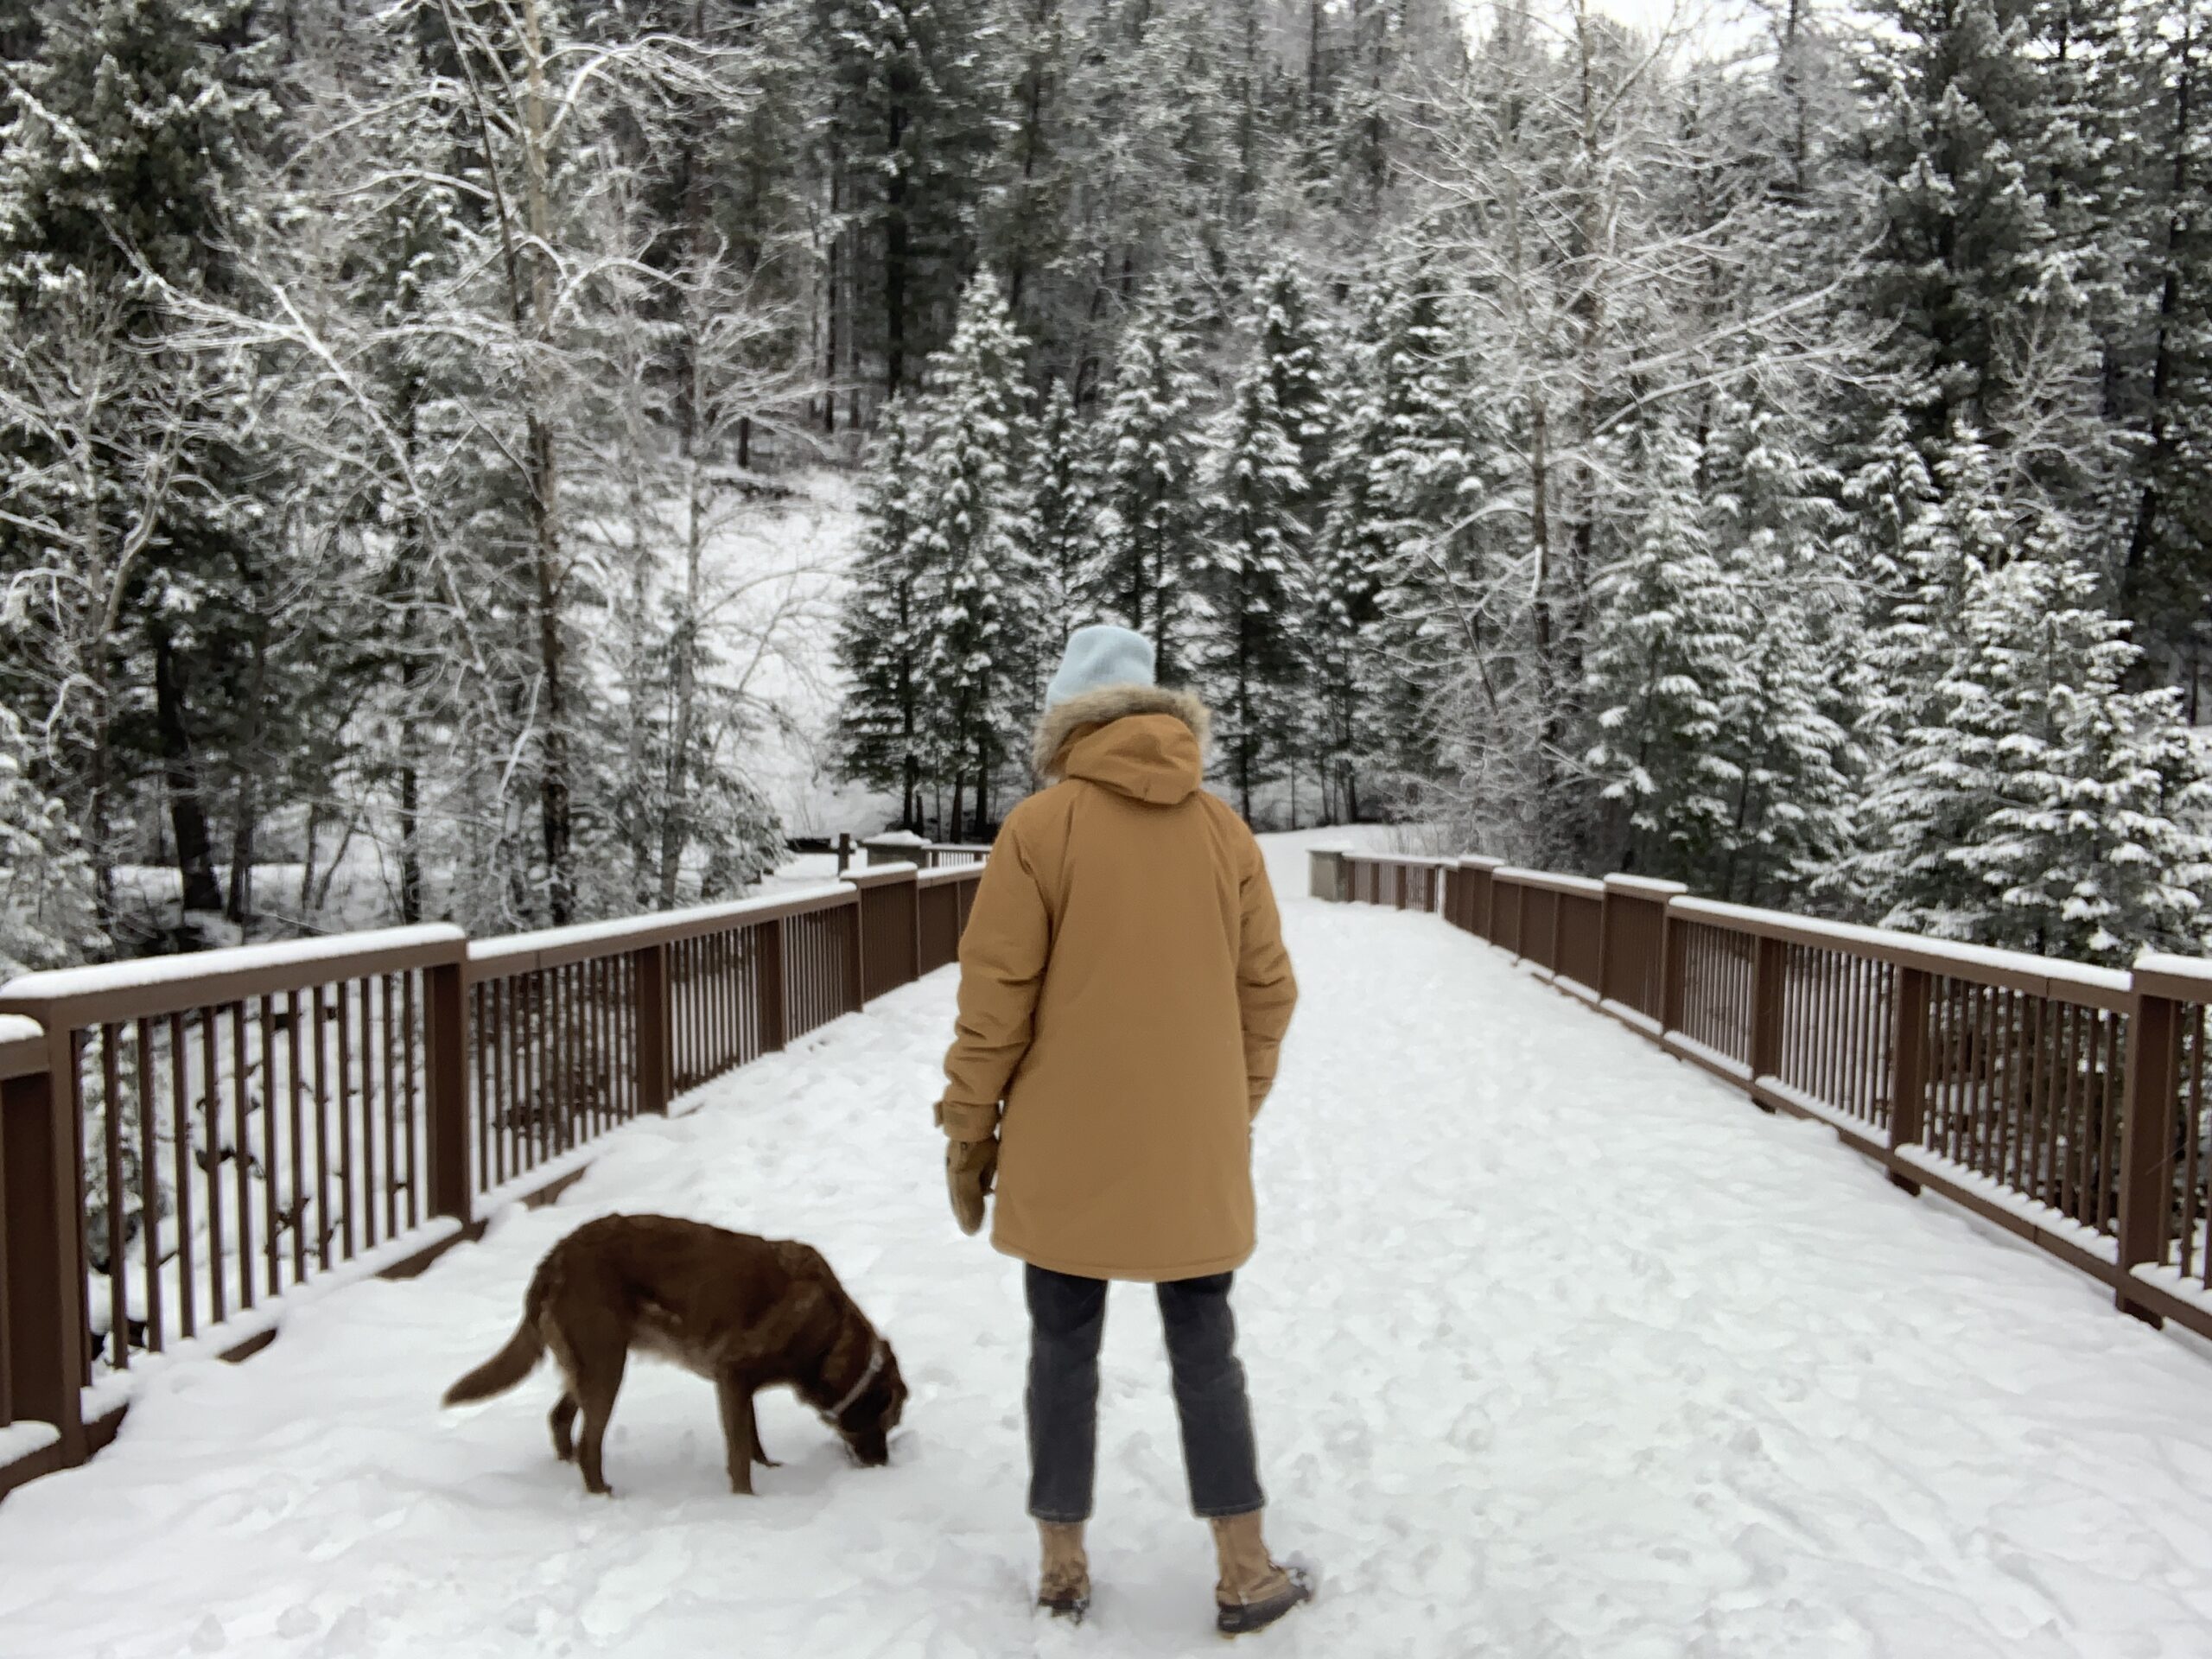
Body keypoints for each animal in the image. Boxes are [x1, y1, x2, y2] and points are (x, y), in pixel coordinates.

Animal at [440, 1211, 906, 1503]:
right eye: (888, 1422)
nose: (884, 1466)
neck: (828, 1334)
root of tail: (553, 1258)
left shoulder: (741, 1387)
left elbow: (753, 1437)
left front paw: (771, 1469)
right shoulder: (733, 1375)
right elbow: (740, 1454)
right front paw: (748, 1503)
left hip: (595, 1360)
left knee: (559, 1417)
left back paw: (567, 1468)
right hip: (606, 1362)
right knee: (590, 1443)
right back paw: (602, 1495)